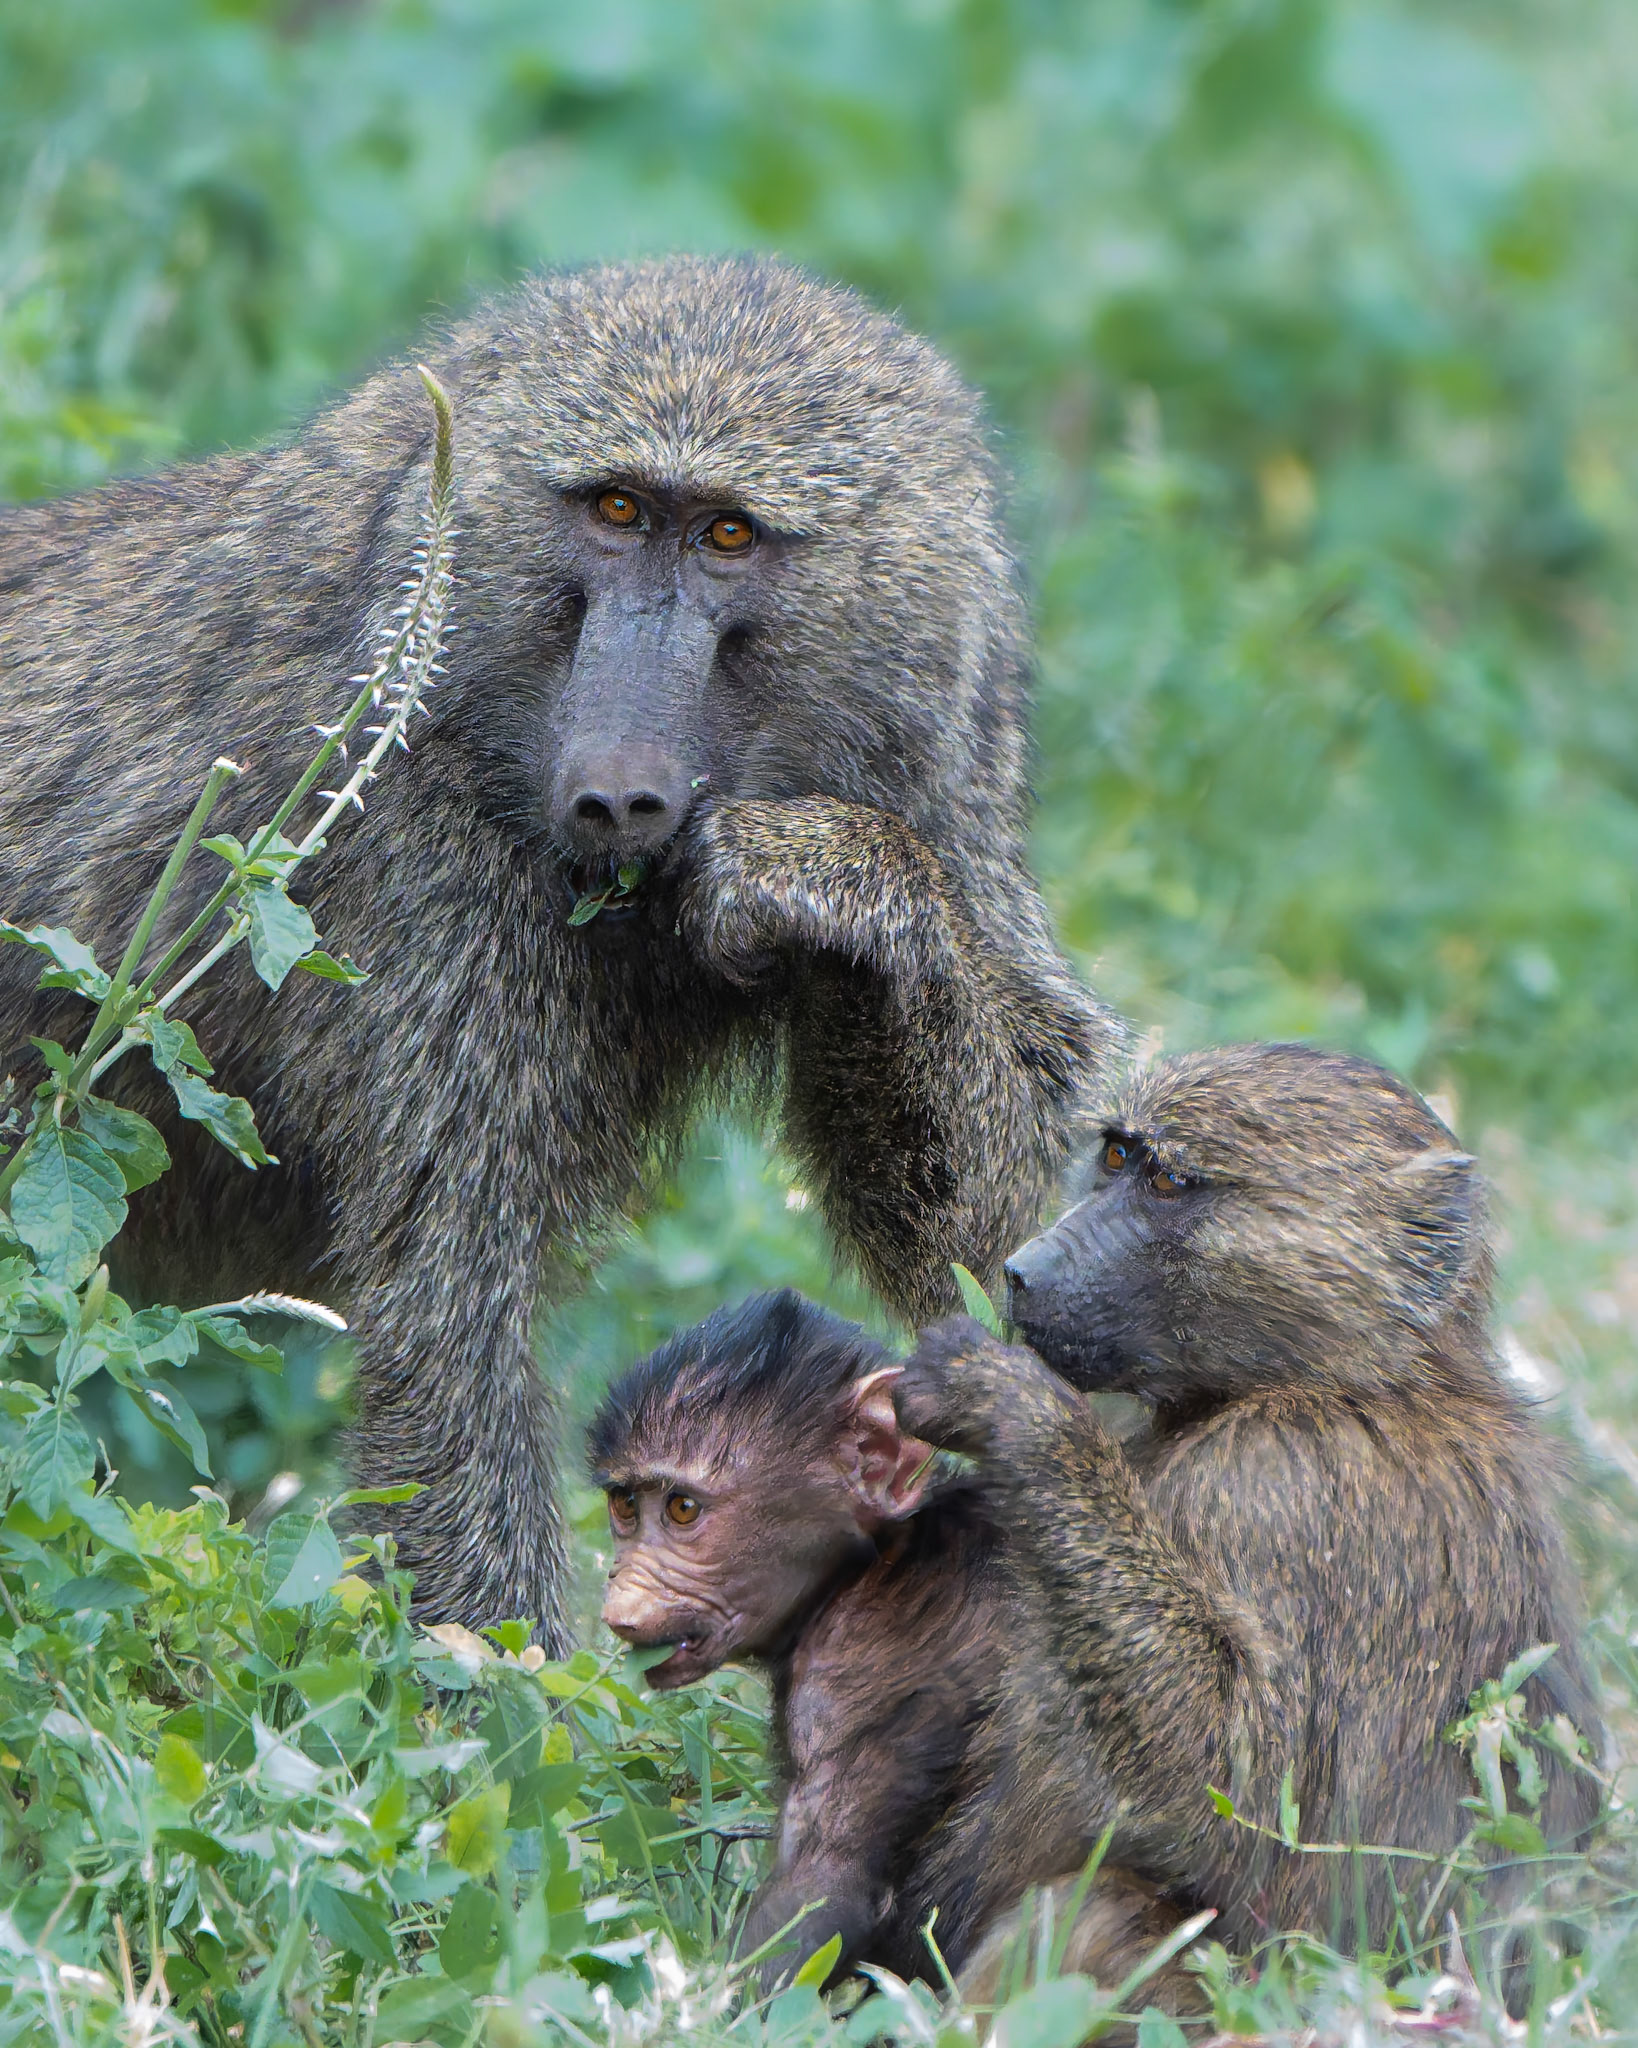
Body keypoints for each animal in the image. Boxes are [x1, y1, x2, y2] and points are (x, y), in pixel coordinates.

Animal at [0, 255, 1120, 1638]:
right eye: (618, 509)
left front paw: (830, 878)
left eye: (727, 534)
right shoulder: (413, 861)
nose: (615, 791)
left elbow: (1010, 1247)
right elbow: (447, 1318)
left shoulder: (939, 757)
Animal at [587, 1289, 1204, 2018]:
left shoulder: (852, 1666)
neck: (871, 1560)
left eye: (683, 1509)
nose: (620, 1599)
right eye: (626, 1506)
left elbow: (825, 1886)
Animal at [893, 1040, 1603, 2000]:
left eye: (1168, 1182)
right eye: (1115, 1157)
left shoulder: (1272, 1490)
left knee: (1099, 1914)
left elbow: (1232, 1803)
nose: (1022, 1270)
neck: (1354, 1380)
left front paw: (1014, 1411)